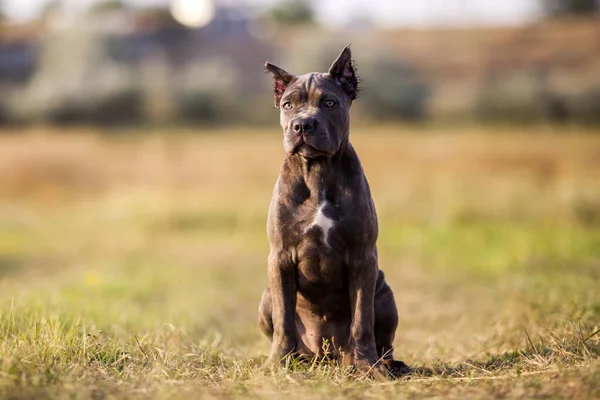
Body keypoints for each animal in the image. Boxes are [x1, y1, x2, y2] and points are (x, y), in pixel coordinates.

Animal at [255, 47, 410, 378]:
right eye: (288, 105)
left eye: (329, 102)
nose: (302, 125)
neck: (317, 171)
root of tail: (326, 355)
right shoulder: (280, 256)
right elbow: (284, 321)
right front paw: (276, 364)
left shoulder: (363, 257)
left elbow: (362, 320)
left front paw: (369, 367)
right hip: (266, 296)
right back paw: (296, 359)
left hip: (385, 293)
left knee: (384, 340)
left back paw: (388, 364)